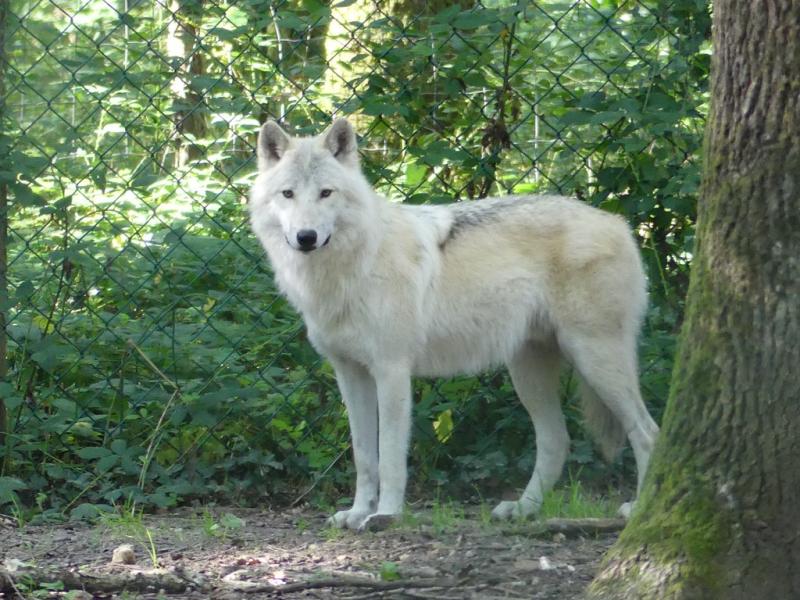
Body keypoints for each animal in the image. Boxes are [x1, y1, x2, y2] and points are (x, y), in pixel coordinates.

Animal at [248, 118, 660, 531]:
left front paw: (386, 514)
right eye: (288, 194)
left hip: (594, 360)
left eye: (325, 193)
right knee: (557, 440)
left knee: (648, 432)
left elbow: (390, 457)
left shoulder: (392, 371)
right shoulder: (350, 374)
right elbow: (364, 456)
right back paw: (523, 509)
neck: (349, 268)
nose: (306, 237)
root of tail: (619, 224)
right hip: (528, 372)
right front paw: (357, 512)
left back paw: (639, 510)